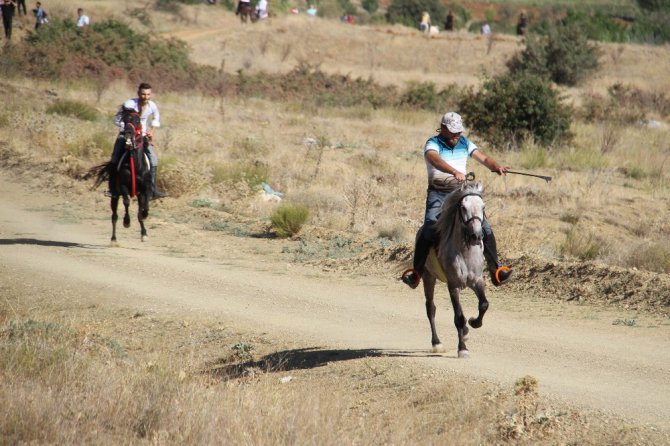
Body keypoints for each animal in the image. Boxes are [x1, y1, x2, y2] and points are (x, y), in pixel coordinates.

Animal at [426, 182, 488, 358]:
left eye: (483, 207)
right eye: (463, 207)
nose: (476, 236)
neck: (465, 252)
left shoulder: (477, 281)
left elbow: (483, 304)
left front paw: (474, 322)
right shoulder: (453, 285)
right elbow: (459, 318)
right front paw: (462, 349)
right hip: (428, 277)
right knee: (430, 308)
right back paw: (437, 343)